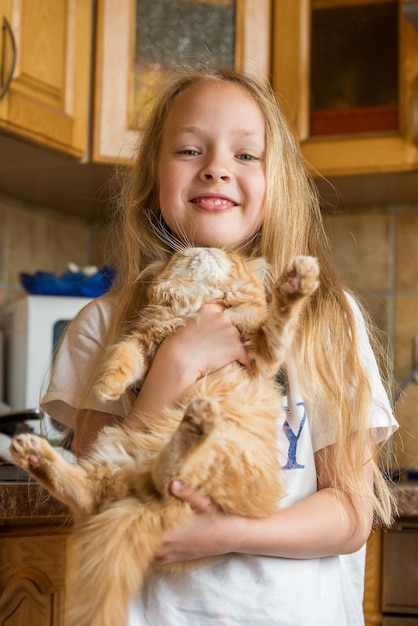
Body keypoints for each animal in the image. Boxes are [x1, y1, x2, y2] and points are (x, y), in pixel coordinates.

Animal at [11, 246, 320, 624]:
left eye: (227, 255)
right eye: (184, 254)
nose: (206, 248)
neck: (201, 301)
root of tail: (142, 498)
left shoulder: (262, 351)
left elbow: (280, 318)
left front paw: (296, 283)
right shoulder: (148, 342)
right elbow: (124, 356)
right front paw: (107, 386)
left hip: (211, 456)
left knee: (162, 476)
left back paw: (195, 423)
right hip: (115, 450)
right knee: (96, 492)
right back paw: (33, 453)